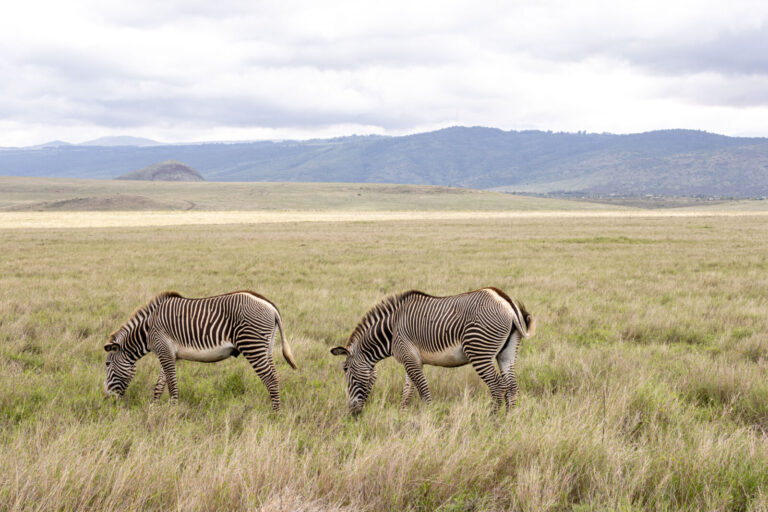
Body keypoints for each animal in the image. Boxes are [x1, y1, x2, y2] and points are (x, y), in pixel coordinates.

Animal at [104, 290, 297, 410]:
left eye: (107, 364)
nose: (108, 400)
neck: (148, 328)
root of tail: (271, 307)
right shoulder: (168, 353)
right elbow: (160, 384)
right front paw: (154, 407)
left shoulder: (164, 350)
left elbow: (172, 384)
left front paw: (172, 411)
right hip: (266, 346)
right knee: (274, 376)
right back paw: (275, 409)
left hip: (252, 345)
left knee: (271, 379)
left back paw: (275, 414)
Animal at [331, 287, 535, 415]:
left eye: (345, 370)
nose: (353, 413)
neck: (392, 329)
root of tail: (508, 304)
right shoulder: (410, 360)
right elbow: (407, 391)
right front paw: (402, 416)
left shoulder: (410, 358)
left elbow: (423, 391)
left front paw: (428, 418)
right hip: (506, 354)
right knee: (512, 388)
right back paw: (507, 421)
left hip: (479, 352)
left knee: (498, 387)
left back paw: (491, 421)